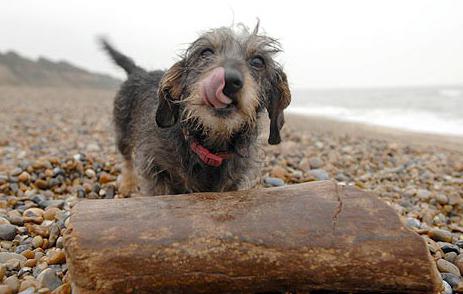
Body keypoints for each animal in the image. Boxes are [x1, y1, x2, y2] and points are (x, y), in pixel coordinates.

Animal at [102, 24, 290, 195]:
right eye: (205, 52)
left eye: (258, 61)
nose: (229, 80)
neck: (210, 148)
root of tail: (138, 71)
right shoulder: (155, 168)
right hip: (122, 132)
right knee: (126, 158)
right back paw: (127, 184)